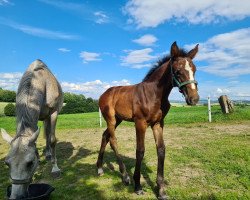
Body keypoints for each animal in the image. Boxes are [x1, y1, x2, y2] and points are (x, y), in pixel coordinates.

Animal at [1, 59, 63, 200]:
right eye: (7, 163)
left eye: (29, 163)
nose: (16, 196)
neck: (41, 81)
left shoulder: (53, 112)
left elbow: (52, 139)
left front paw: (55, 168)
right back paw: (47, 154)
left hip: (48, 116)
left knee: (48, 134)